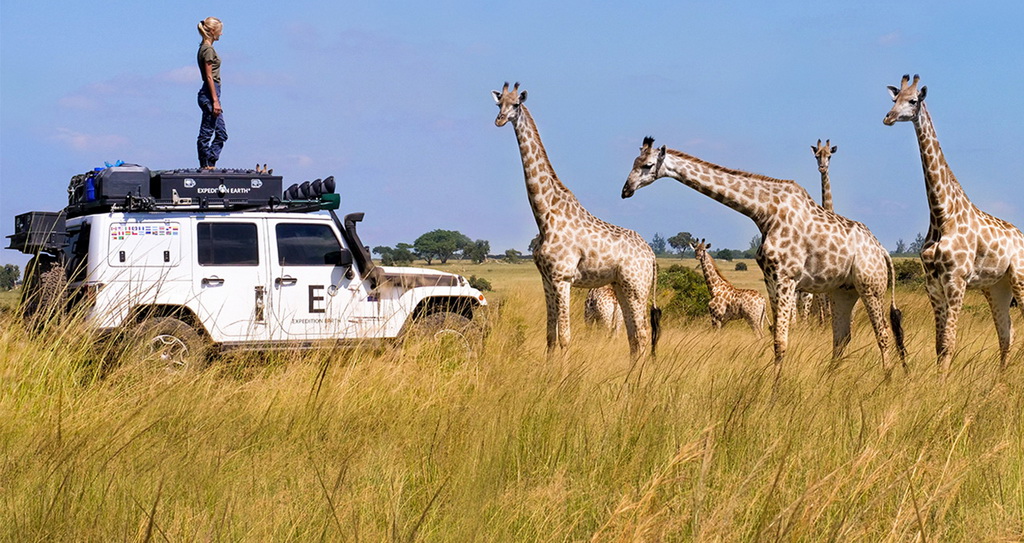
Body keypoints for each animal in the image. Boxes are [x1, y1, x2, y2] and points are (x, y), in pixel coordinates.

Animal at [491, 82, 659, 356]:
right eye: (498, 103)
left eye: (516, 104)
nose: (500, 120)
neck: (545, 214)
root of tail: (652, 256)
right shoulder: (546, 279)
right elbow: (550, 335)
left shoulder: (563, 278)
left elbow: (565, 337)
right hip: (622, 286)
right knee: (633, 338)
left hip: (637, 287)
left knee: (643, 335)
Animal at [622, 135, 905, 372]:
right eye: (634, 162)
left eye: (647, 165)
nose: (626, 190)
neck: (763, 212)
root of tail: (882, 250)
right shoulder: (771, 279)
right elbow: (773, 336)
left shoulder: (786, 277)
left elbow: (781, 341)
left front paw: (774, 395)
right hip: (843, 291)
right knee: (842, 338)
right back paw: (831, 379)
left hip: (871, 286)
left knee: (883, 333)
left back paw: (887, 377)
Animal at [880, 73, 1024, 372]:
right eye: (894, 98)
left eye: (913, 100)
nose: (888, 117)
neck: (941, 214)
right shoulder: (933, 283)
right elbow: (939, 345)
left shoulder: (957, 280)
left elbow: (949, 343)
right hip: (997, 287)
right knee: (1007, 334)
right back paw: (1001, 378)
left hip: (1019, 277)